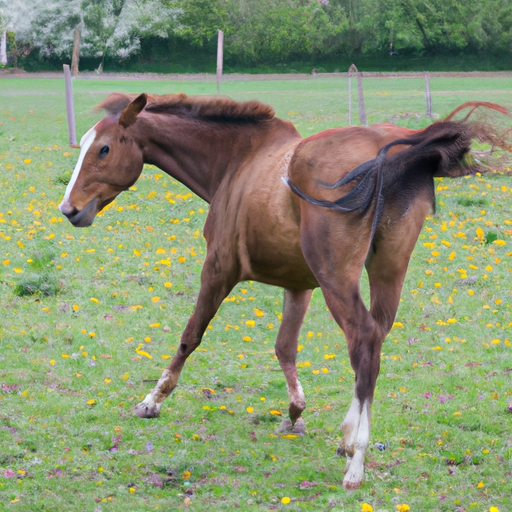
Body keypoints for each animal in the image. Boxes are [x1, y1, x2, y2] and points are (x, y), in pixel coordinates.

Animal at [59, 94, 508, 490]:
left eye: (103, 149)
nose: (69, 209)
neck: (237, 162)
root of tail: (393, 151)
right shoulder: (298, 285)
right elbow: (285, 348)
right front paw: (295, 414)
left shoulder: (218, 270)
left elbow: (190, 336)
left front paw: (153, 400)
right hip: (385, 273)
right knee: (375, 341)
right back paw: (348, 439)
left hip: (337, 279)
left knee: (362, 340)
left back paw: (356, 462)